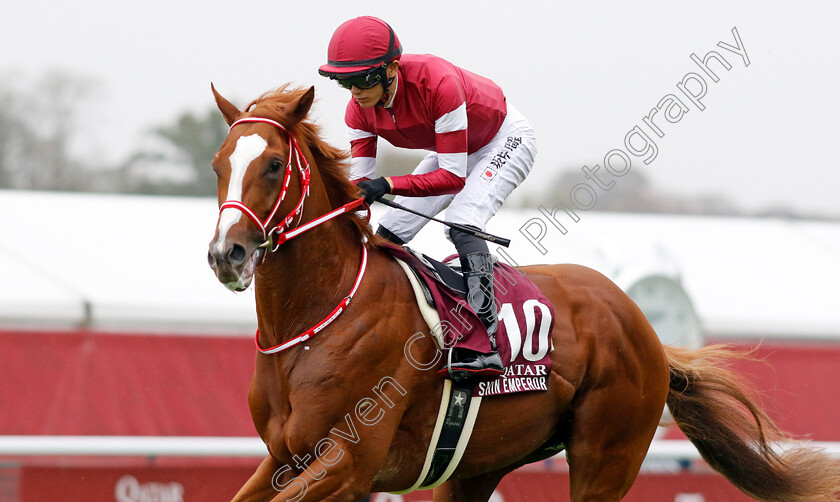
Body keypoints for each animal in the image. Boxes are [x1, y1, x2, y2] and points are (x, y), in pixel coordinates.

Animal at [205, 84, 840, 500]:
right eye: (218, 163)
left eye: (273, 164)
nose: (225, 254)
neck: (312, 326)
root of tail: (647, 329)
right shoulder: (284, 460)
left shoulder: (348, 464)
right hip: (478, 465)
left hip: (606, 457)